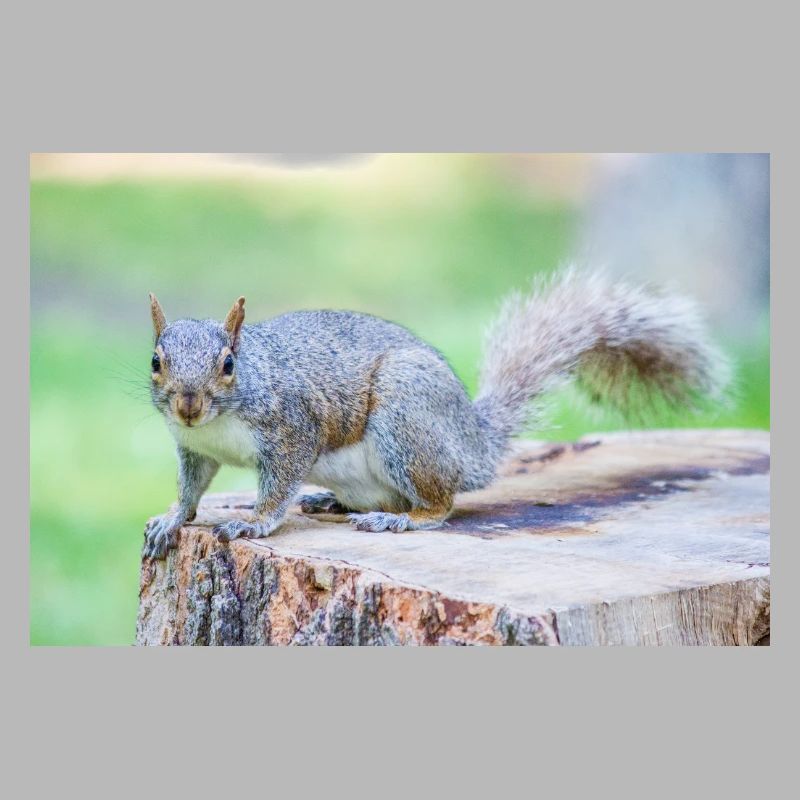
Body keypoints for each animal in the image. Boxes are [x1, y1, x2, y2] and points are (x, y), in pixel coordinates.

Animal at [143, 268, 730, 559]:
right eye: (155, 360)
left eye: (228, 364)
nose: (188, 405)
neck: (219, 423)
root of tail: (473, 443)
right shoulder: (193, 449)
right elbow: (192, 489)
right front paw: (172, 519)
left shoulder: (293, 431)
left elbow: (277, 484)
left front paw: (254, 522)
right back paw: (332, 502)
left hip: (407, 420)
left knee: (441, 504)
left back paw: (400, 518)